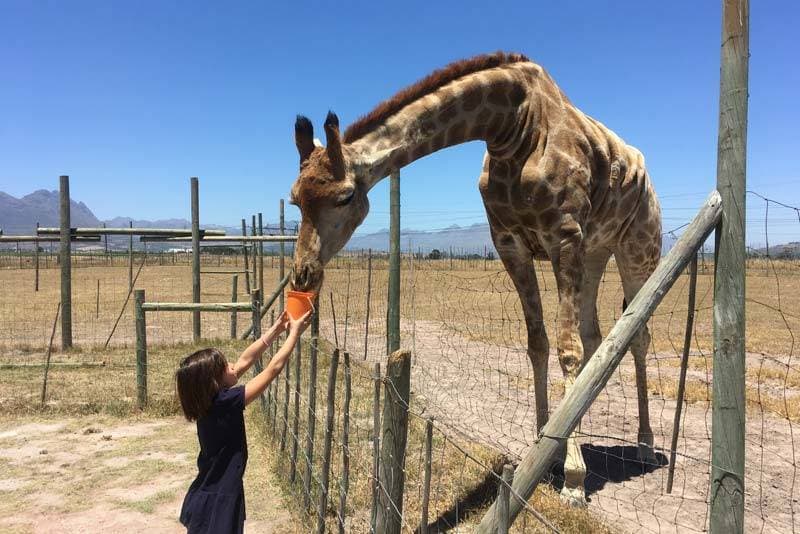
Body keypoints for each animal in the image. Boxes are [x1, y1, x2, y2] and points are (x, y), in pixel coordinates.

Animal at [288, 52, 662, 507]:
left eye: (344, 197)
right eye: (294, 199)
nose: (303, 273)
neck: (511, 127)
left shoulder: (565, 237)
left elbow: (567, 351)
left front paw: (573, 480)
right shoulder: (510, 243)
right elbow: (538, 343)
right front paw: (546, 450)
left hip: (638, 247)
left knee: (637, 335)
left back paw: (645, 446)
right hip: (596, 251)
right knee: (597, 335)